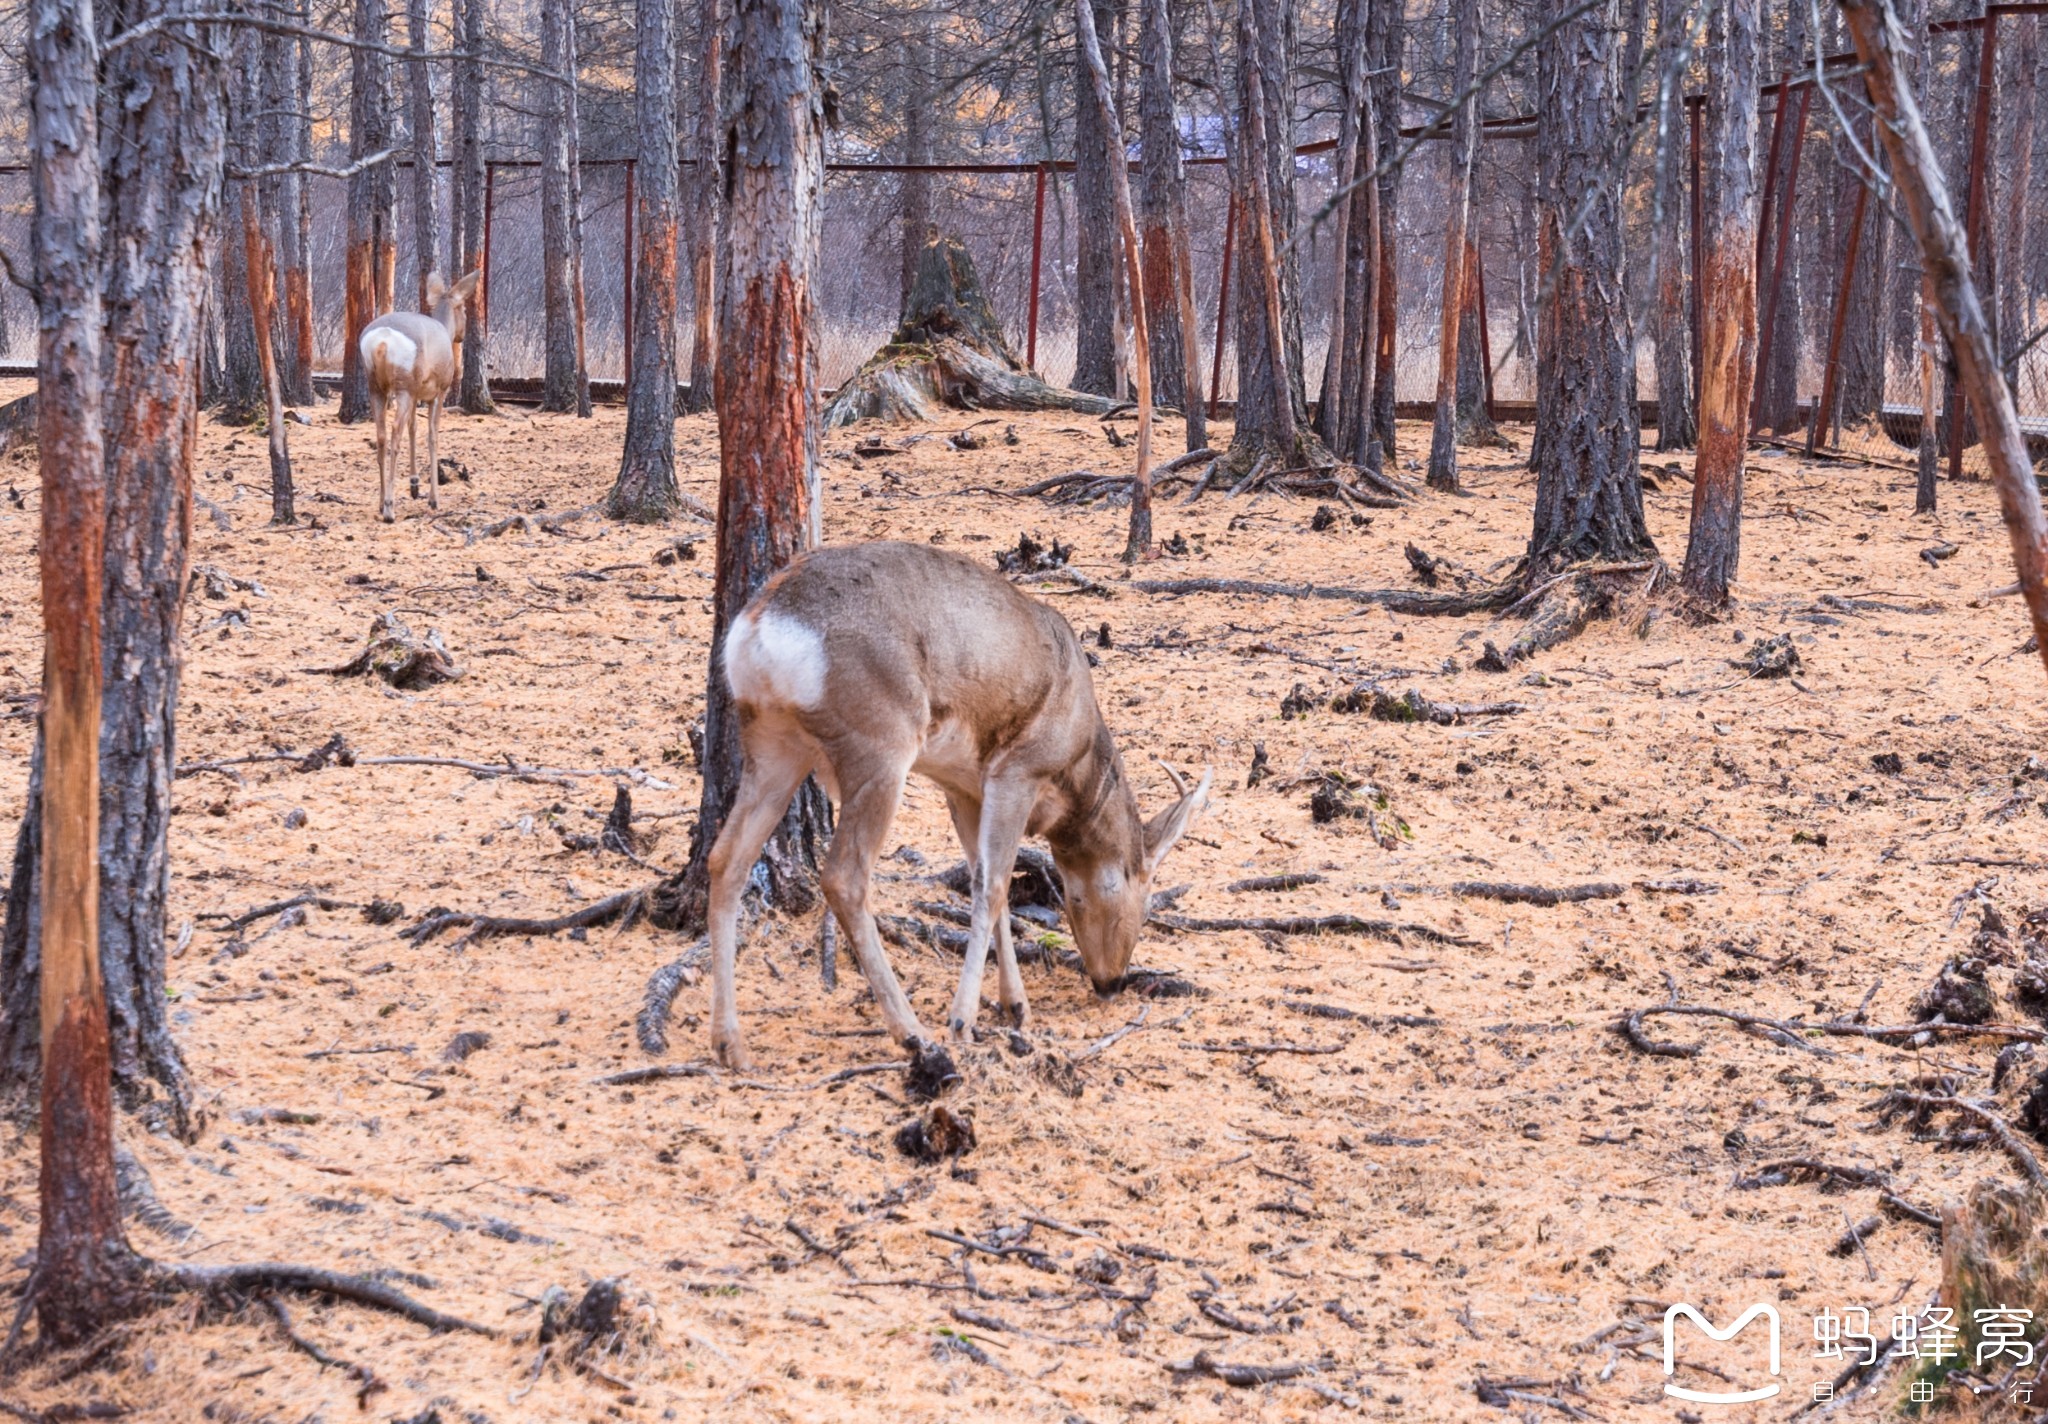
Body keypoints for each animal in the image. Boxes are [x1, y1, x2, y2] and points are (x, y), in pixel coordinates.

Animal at [358, 268, 477, 524]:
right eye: (463, 308)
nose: (462, 335)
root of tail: (382, 341)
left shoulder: (417, 393)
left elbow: (413, 427)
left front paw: (414, 484)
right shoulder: (439, 389)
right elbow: (432, 435)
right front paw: (433, 498)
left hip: (377, 385)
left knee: (381, 434)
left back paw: (381, 502)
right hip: (404, 385)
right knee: (395, 433)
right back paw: (390, 508)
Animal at [708, 545, 1212, 1065]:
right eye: (1144, 902)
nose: (1112, 982)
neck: (1076, 764)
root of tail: (760, 626)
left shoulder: (964, 787)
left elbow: (986, 878)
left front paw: (1016, 1007)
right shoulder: (1018, 770)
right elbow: (992, 885)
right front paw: (963, 1020)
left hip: (772, 741)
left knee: (726, 859)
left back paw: (730, 1044)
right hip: (878, 745)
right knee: (844, 877)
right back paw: (912, 1032)